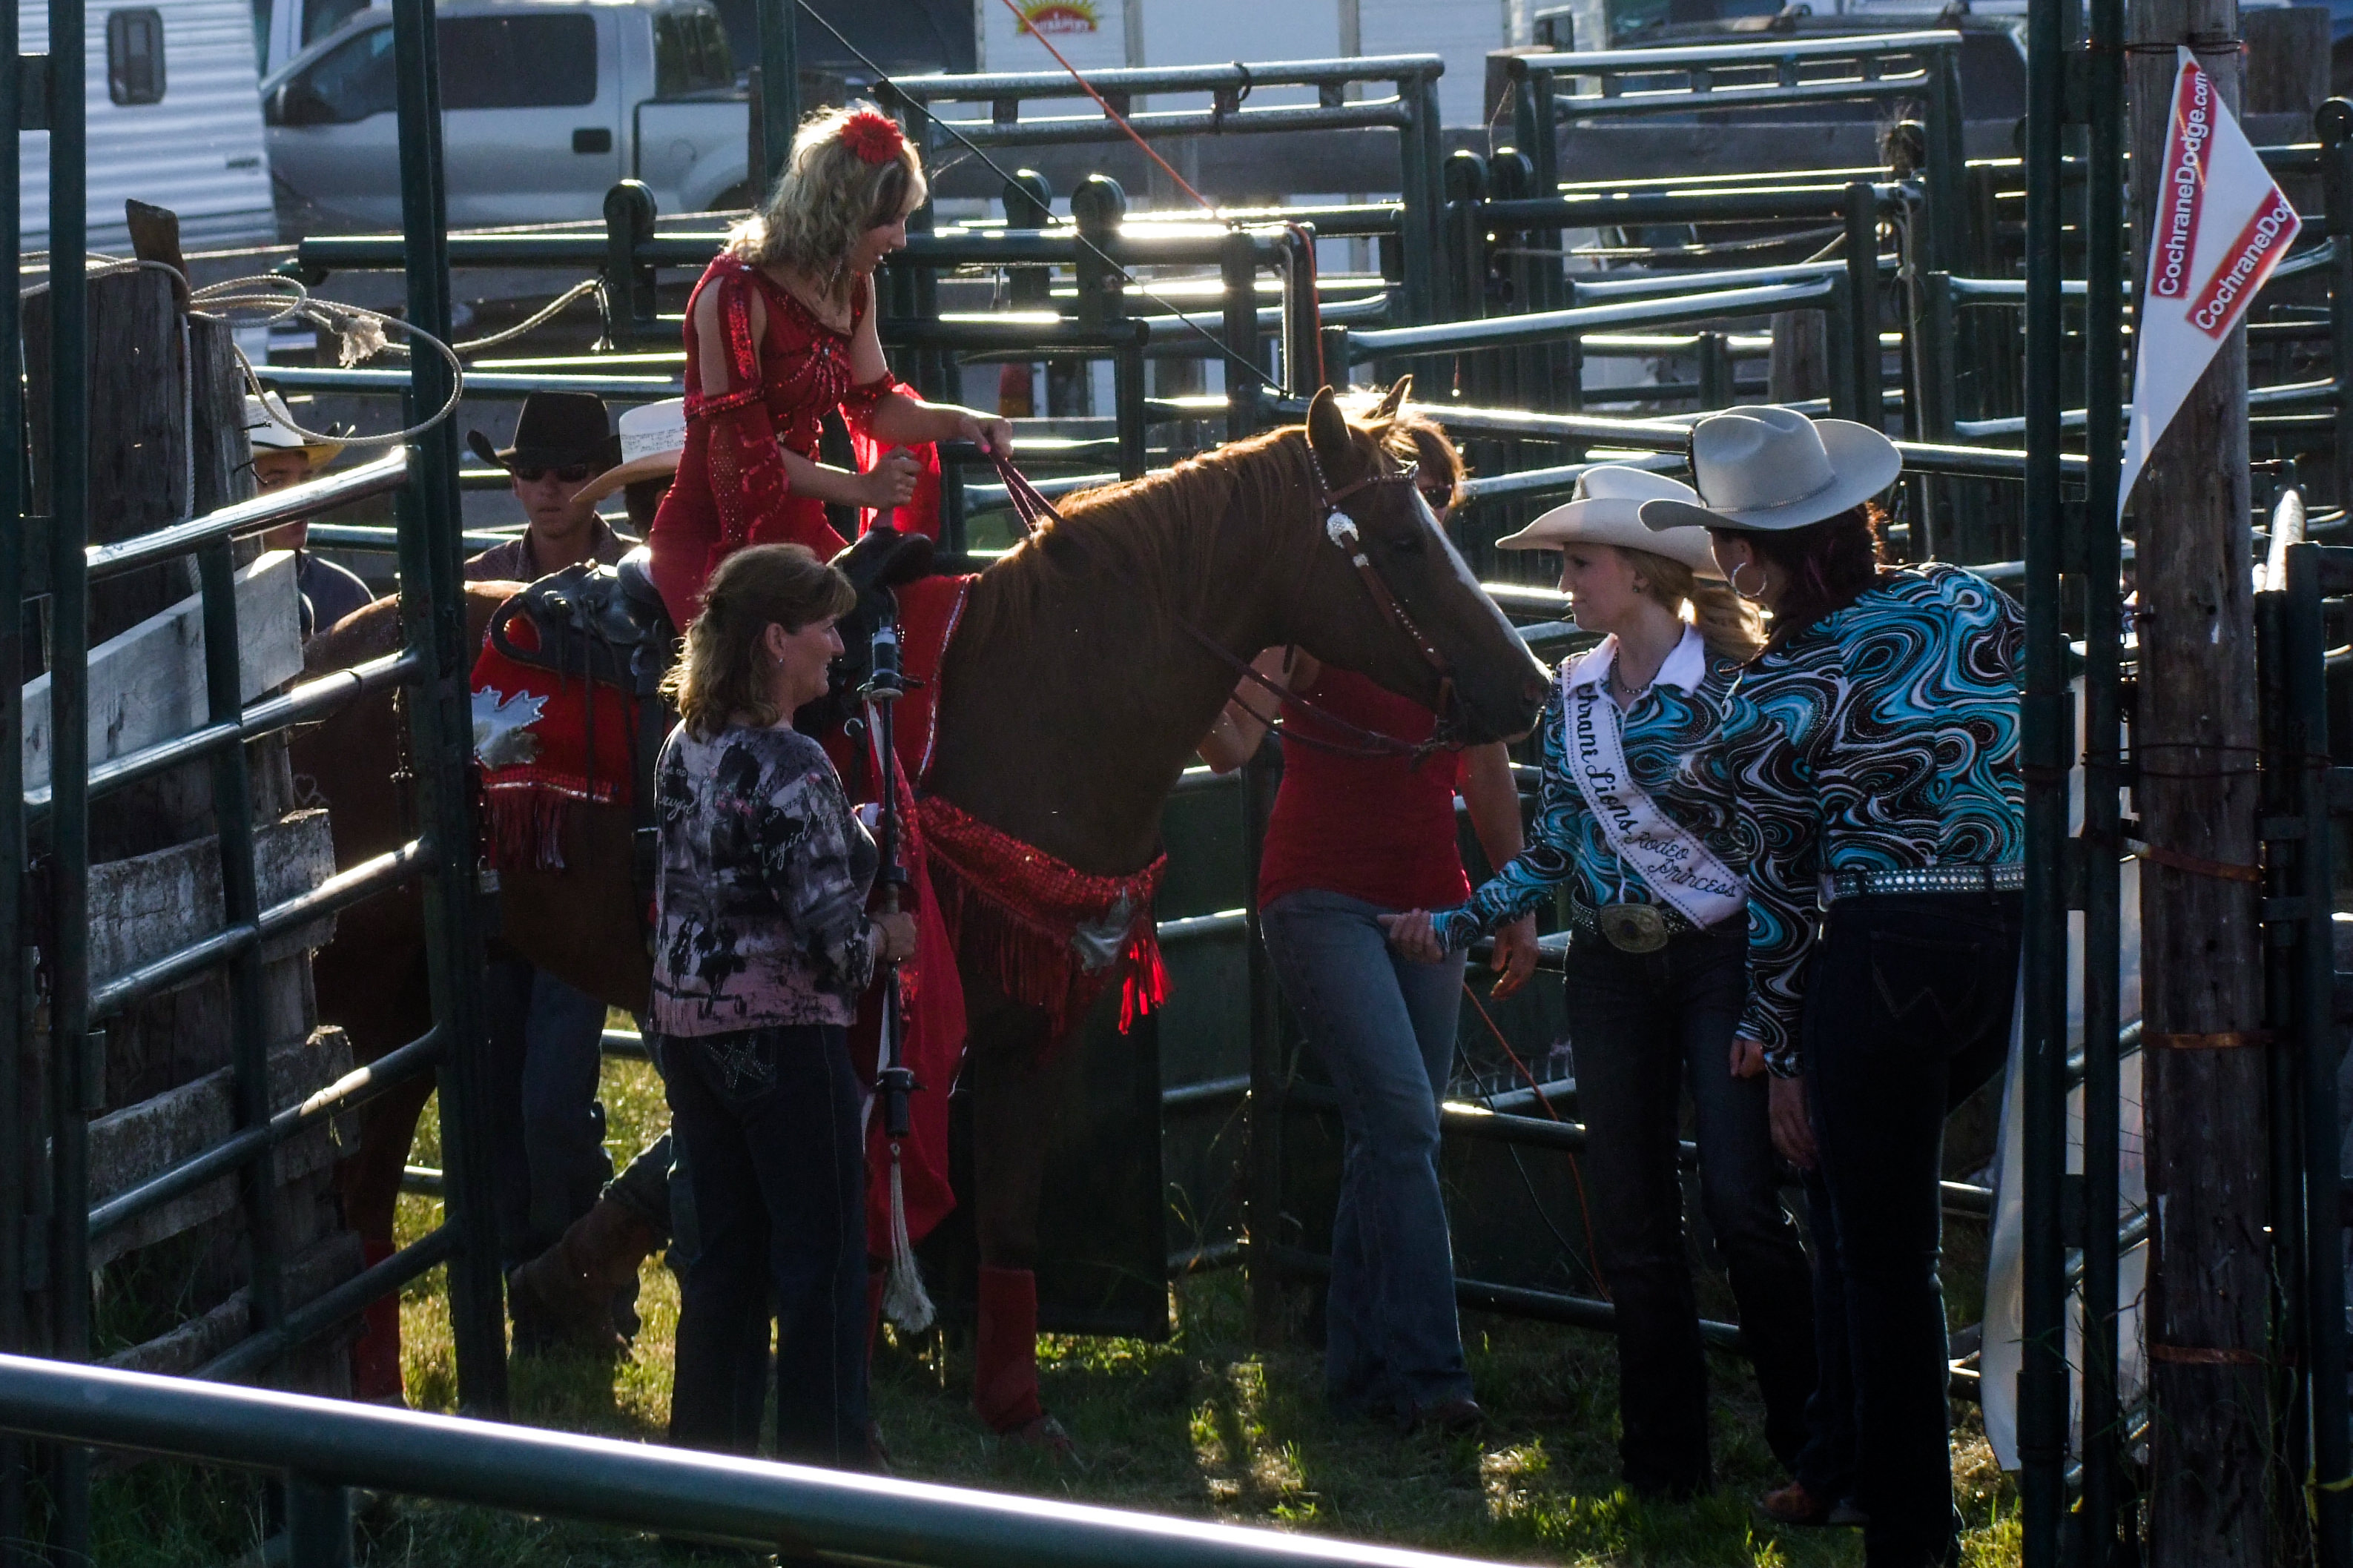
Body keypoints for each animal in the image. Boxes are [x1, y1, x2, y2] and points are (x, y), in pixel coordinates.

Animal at [296, 383, 1551, 1436]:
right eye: (1400, 540)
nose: (1531, 688)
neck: (1033, 696)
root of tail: (333, 661)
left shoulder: (1033, 1024)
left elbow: (1007, 1215)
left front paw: (1013, 1407)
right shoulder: (867, 1031)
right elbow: (856, 1230)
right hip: (373, 990)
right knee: (355, 1194)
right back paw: (370, 1385)